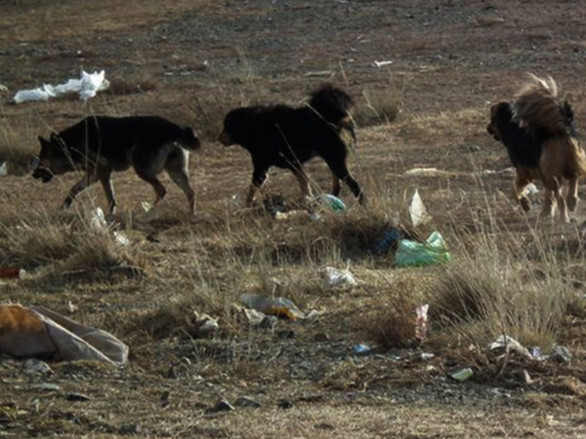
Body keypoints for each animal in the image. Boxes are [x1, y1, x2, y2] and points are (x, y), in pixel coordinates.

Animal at [32, 116, 201, 214]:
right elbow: (73, 189)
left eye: (42, 159)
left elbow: (110, 196)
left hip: (141, 170)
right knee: (190, 192)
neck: (70, 144)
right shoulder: (93, 174)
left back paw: (147, 212)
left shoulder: (103, 171)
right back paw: (191, 214)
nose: (33, 174)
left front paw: (110, 214)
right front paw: (64, 206)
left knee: (162, 190)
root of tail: (170, 127)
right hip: (176, 173)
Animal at [218, 84, 362, 206]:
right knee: (338, 183)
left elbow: (253, 188)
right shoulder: (294, 164)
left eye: (226, 128)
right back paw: (332, 197)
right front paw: (308, 200)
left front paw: (247, 204)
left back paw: (362, 204)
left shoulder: (263, 167)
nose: (219, 138)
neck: (250, 125)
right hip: (332, 158)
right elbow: (304, 184)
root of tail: (331, 119)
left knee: (354, 185)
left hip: (334, 158)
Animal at [484, 74, 584, 223]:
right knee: (574, 178)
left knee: (561, 197)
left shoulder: (524, 173)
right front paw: (546, 212)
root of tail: (560, 129)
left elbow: (514, 190)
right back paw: (572, 201)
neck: (510, 125)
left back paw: (564, 216)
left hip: (552, 174)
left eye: (491, 119)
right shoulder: (542, 174)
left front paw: (525, 204)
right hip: (570, 161)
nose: (487, 128)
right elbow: (548, 197)